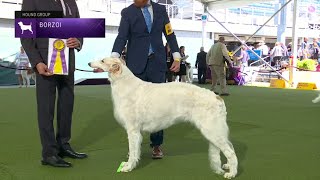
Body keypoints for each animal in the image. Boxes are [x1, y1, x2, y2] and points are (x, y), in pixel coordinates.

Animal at [87, 57, 238, 179]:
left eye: (102, 60)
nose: (88, 63)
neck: (125, 83)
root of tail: (217, 97)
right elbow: (135, 151)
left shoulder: (133, 130)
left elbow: (133, 151)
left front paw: (128, 167)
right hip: (216, 131)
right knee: (230, 147)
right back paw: (227, 166)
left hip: (212, 130)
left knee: (231, 152)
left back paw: (231, 173)